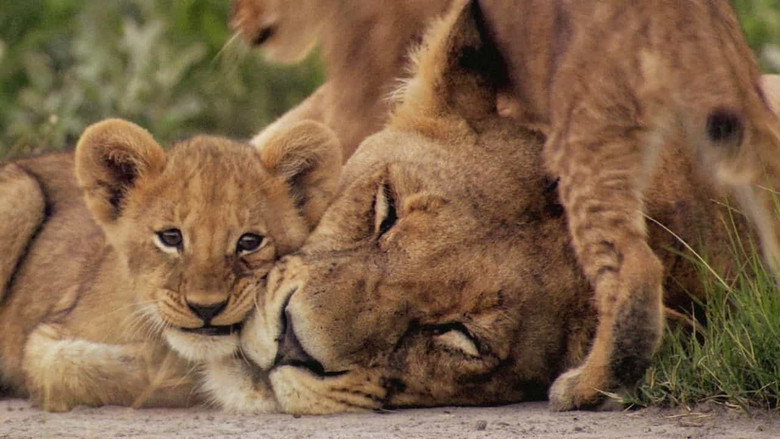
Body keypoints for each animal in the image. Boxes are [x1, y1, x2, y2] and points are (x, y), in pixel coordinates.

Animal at [0, 118, 340, 412]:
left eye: (250, 241)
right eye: (171, 237)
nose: (206, 308)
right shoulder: (43, 342)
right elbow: (81, 367)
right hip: (21, 192)